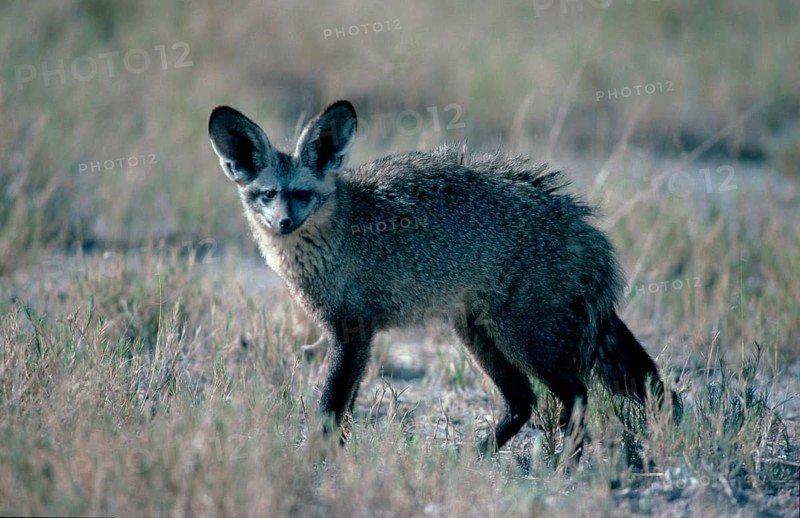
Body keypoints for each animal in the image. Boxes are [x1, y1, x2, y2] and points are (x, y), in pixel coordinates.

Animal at [208, 100, 681, 457]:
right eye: (267, 195)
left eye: (302, 195)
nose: (284, 223)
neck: (339, 236)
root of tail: (587, 229)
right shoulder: (351, 335)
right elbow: (341, 409)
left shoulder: (353, 332)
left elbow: (331, 407)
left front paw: (316, 457)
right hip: (477, 334)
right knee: (524, 401)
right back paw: (476, 457)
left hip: (526, 339)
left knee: (577, 397)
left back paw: (564, 465)